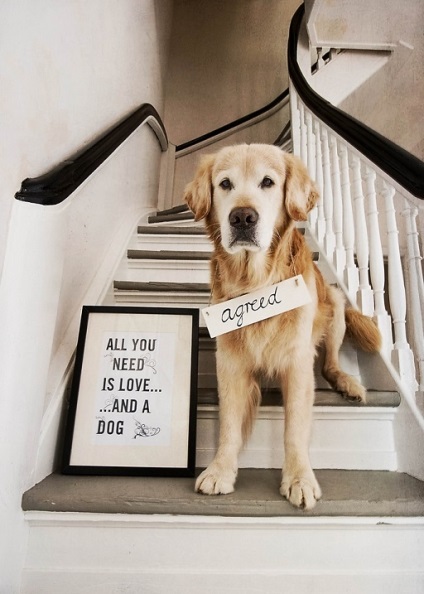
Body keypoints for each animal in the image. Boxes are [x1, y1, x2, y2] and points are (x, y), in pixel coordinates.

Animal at [183, 143, 380, 508]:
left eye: (268, 182)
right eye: (225, 184)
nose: (242, 217)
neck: (255, 283)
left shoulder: (298, 363)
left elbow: (295, 429)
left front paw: (299, 478)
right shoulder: (229, 362)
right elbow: (229, 424)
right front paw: (220, 471)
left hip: (334, 302)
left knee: (330, 364)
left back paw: (348, 383)